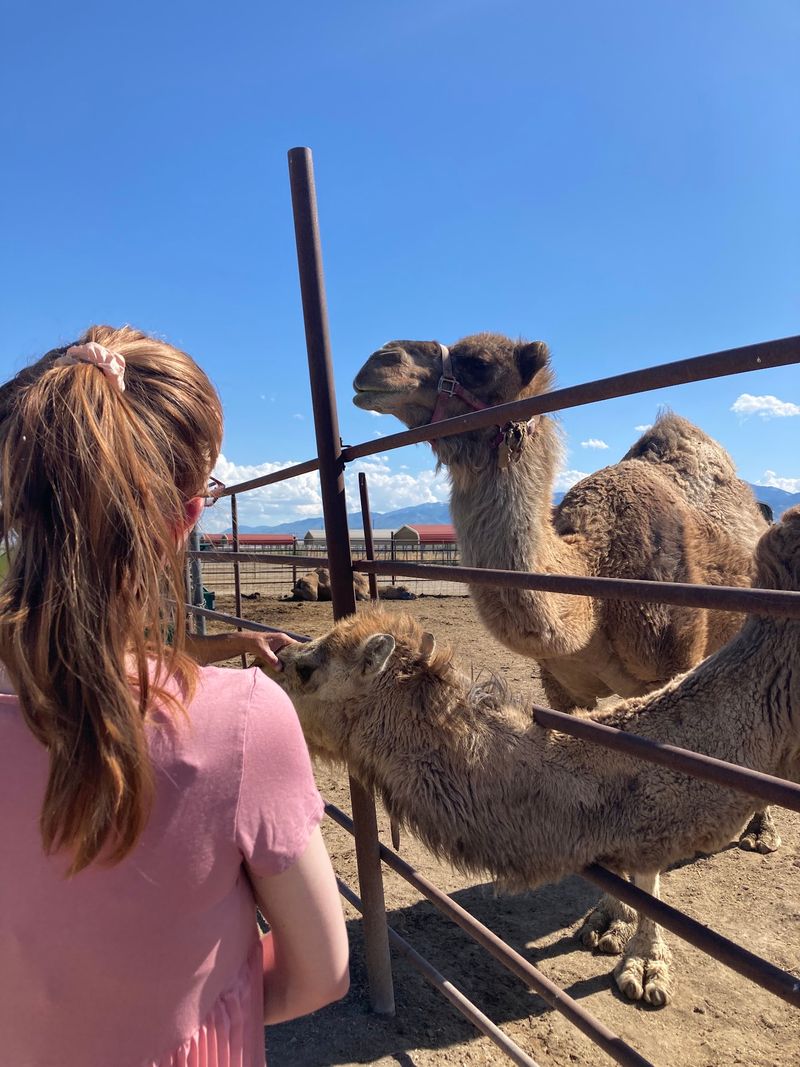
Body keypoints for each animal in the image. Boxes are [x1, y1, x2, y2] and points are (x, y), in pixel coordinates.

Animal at [353, 334, 776, 851]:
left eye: (479, 364)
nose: (378, 361)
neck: (593, 585)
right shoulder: (559, 689)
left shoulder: (672, 665)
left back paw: (761, 830)